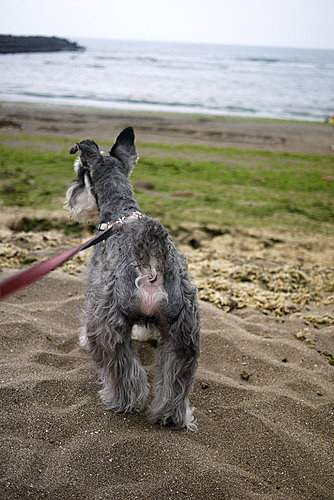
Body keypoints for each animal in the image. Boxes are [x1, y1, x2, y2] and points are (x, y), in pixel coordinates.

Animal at [66, 128, 201, 430]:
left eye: (80, 173)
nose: (71, 198)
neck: (120, 210)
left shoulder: (95, 290)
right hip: (183, 333)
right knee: (177, 379)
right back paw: (172, 416)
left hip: (107, 324)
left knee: (122, 369)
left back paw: (118, 400)